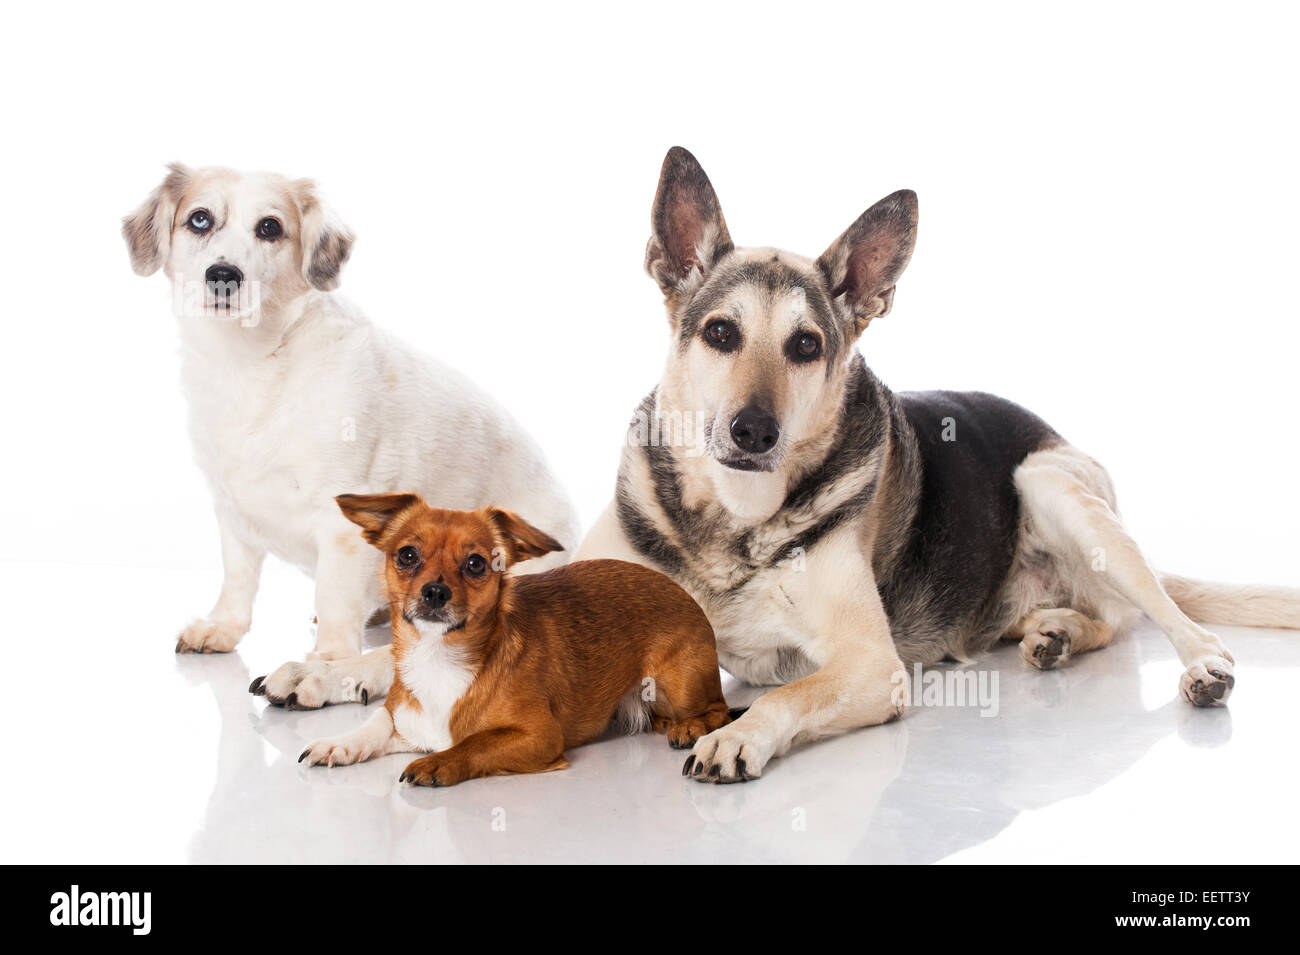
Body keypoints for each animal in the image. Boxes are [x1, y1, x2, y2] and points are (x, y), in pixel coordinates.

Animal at [122, 164, 579, 696]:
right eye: (199, 218)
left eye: (270, 227)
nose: (223, 275)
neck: (252, 362)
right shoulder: (231, 509)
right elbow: (237, 578)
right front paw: (223, 627)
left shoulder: (340, 518)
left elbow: (335, 598)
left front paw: (327, 665)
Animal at [300, 493, 738, 784]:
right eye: (407, 555)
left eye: (476, 564)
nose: (435, 592)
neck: (439, 657)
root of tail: (685, 595)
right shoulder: (404, 718)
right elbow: (376, 721)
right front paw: (337, 744)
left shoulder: (539, 737)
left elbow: (473, 744)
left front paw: (438, 762)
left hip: (677, 684)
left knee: (718, 709)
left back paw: (689, 728)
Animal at [577, 147, 1300, 784]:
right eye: (721, 333)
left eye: (806, 345)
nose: (754, 430)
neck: (731, 517)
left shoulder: (873, 665)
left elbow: (787, 693)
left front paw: (737, 735)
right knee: (1105, 619)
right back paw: (1056, 632)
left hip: (1048, 483)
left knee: (1164, 616)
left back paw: (1198, 664)